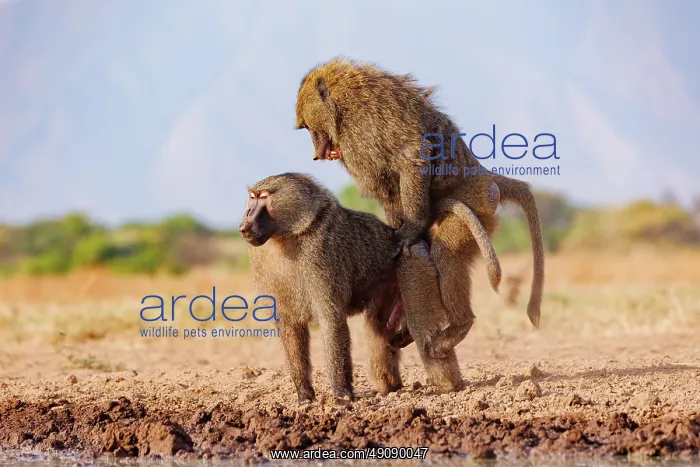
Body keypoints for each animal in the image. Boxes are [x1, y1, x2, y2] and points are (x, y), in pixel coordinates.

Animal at [238, 173, 493, 402]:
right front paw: (304, 395)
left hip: (415, 264)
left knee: (422, 329)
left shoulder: (321, 259)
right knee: (376, 326)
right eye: (252, 198)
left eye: (263, 197)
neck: (286, 238)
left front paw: (342, 395)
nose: (244, 223)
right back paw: (391, 385)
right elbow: (290, 327)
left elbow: (331, 321)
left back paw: (449, 387)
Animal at [295, 57, 545, 357]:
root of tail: (484, 174)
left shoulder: (360, 133)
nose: (316, 153)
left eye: (309, 128)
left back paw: (459, 326)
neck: (343, 103)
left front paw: (408, 232)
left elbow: (413, 155)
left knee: (447, 252)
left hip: (479, 204)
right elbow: (388, 188)